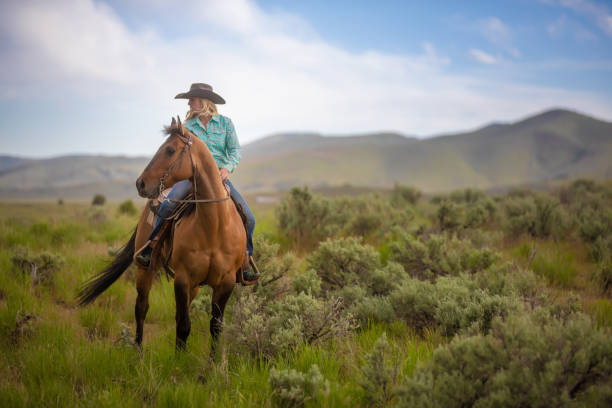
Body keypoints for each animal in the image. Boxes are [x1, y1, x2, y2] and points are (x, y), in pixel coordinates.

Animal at [77, 115, 245, 350]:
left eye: (170, 150)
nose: (140, 183)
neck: (214, 226)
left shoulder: (225, 283)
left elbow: (215, 328)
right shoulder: (183, 278)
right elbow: (183, 327)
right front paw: (179, 359)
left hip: (194, 286)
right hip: (145, 269)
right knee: (141, 308)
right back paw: (138, 350)